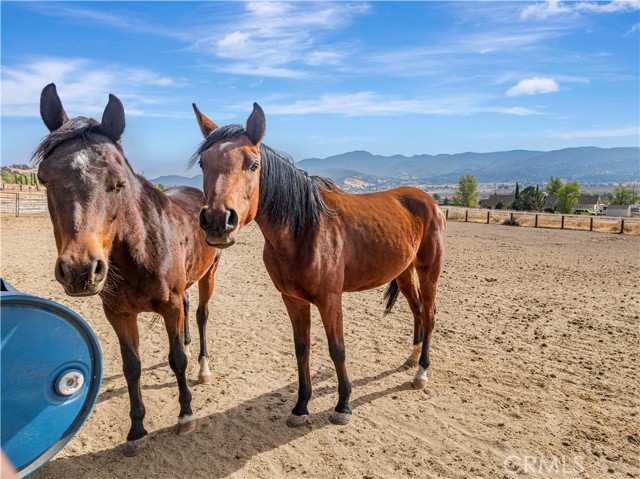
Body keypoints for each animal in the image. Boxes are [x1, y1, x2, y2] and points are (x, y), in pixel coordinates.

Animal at [34, 83, 220, 458]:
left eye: (118, 183)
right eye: (44, 178)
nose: (80, 270)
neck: (140, 252)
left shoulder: (170, 306)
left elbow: (177, 359)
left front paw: (186, 415)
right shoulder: (119, 314)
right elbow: (132, 367)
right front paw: (136, 431)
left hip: (208, 274)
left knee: (201, 315)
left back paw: (203, 367)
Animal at [189, 102, 444, 428]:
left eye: (253, 164)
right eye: (203, 163)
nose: (218, 220)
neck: (304, 231)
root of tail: (429, 200)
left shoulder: (329, 299)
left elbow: (337, 349)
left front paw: (343, 404)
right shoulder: (293, 299)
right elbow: (302, 349)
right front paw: (301, 406)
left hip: (429, 272)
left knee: (429, 314)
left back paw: (421, 372)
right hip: (404, 272)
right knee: (417, 311)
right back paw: (411, 359)